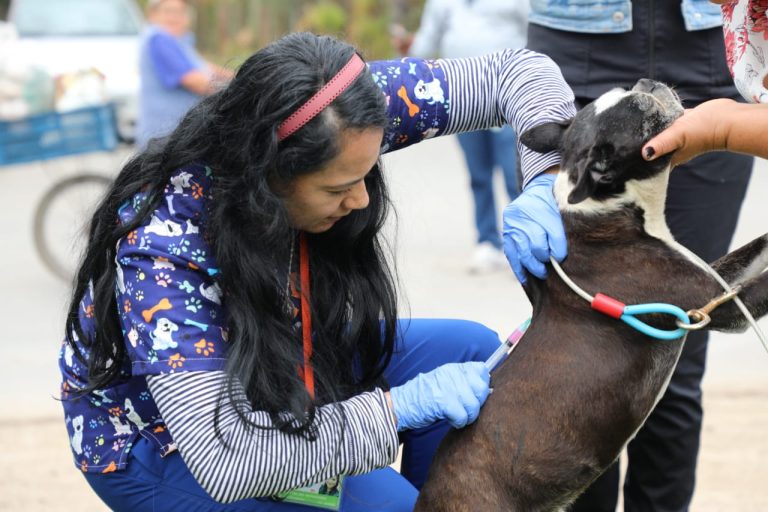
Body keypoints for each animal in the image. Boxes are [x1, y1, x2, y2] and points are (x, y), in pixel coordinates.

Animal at [416, 78, 768, 510]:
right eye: (642, 110)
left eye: (631, 89)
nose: (648, 81)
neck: (607, 209)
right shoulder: (722, 307)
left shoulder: (721, 281)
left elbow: (759, 247)